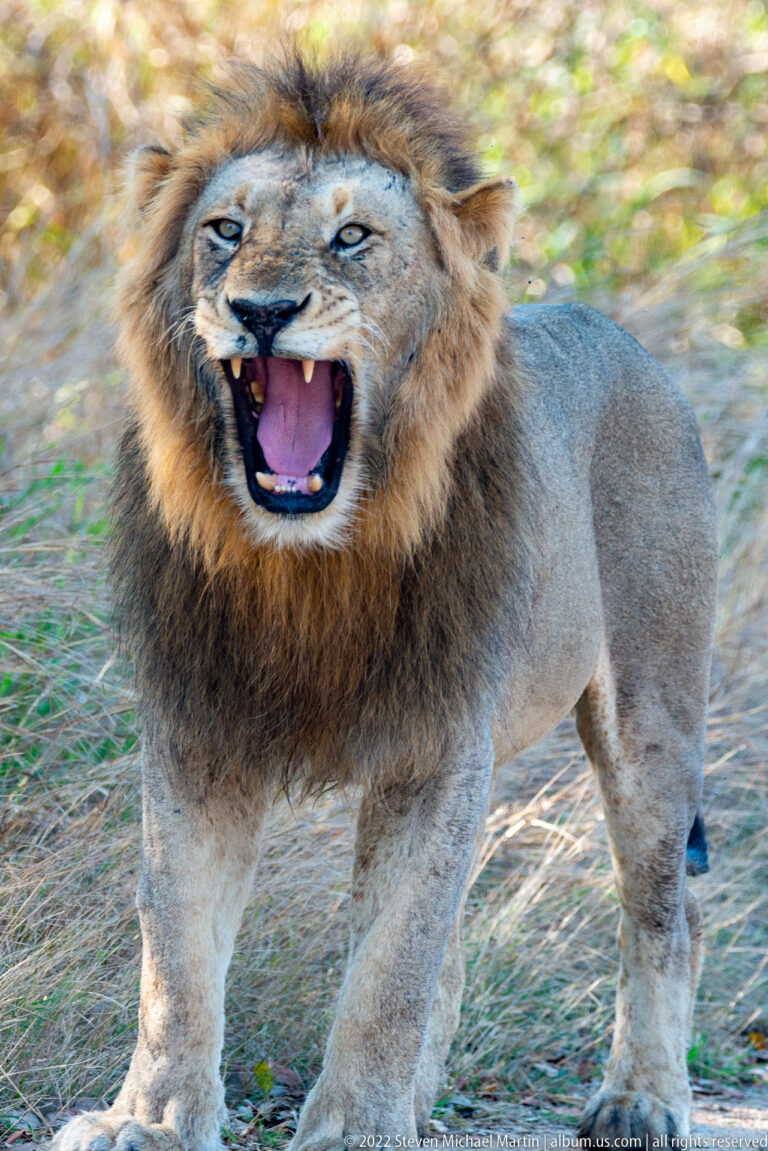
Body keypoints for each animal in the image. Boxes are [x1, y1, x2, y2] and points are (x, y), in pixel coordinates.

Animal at [52, 49, 718, 1151]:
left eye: (352, 236)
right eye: (224, 230)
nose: (261, 311)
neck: (310, 566)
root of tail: (622, 339)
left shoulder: (435, 744)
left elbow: (391, 965)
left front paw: (354, 1127)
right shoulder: (197, 730)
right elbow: (177, 950)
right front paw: (150, 1119)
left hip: (653, 716)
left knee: (664, 911)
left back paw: (642, 1100)